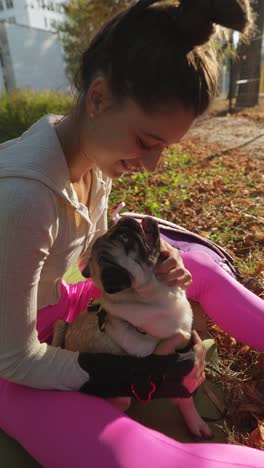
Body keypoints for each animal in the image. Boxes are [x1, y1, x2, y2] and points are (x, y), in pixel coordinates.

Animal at [52, 216, 211, 438]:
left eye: (116, 232)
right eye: (125, 239)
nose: (128, 220)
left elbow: (185, 398)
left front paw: (194, 421)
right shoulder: (152, 350)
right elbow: (175, 339)